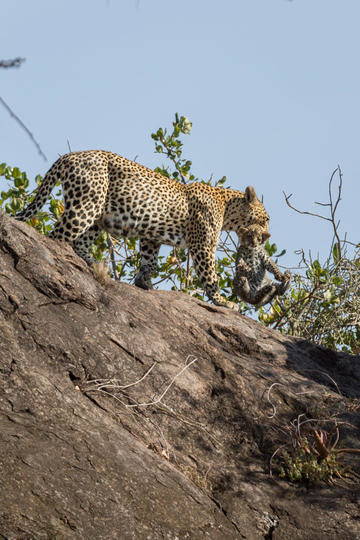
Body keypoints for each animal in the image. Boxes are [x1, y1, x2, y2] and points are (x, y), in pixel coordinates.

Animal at [16, 150, 270, 310]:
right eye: (266, 219)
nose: (268, 235)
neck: (227, 207)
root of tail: (70, 156)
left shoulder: (151, 237)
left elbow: (150, 261)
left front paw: (143, 283)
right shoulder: (203, 245)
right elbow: (210, 276)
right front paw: (222, 302)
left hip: (97, 215)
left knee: (79, 242)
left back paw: (94, 265)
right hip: (87, 204)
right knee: (57, 236)